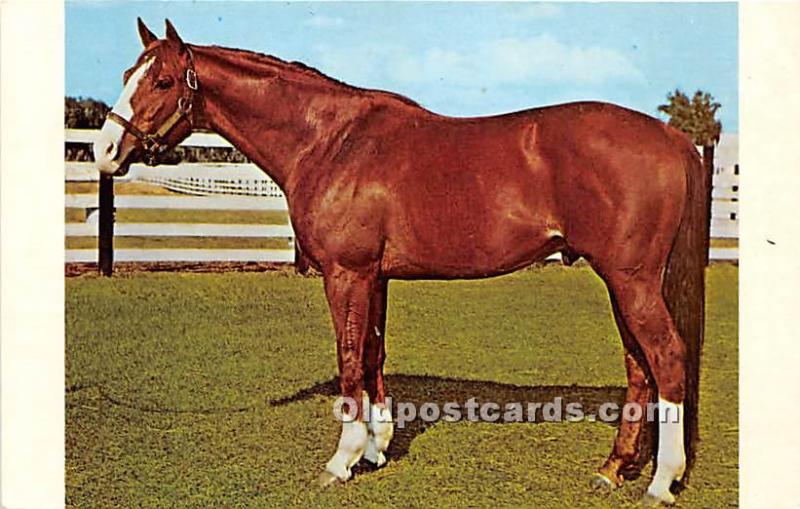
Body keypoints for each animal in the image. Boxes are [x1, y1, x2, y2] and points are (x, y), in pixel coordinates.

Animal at [92, 19, 708, 504]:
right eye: (126, 75)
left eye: (163, 81)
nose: (105, 151)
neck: (332, 141)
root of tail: (674, 138)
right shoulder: (375, 276)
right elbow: (373, 356)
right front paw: (376, 449)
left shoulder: (347, 274)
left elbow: (348, 359)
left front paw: (341, 461)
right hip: (621, 281)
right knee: (639, 365)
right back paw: (612, 470)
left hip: (631, 281)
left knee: (667, 358)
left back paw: (661, 481)